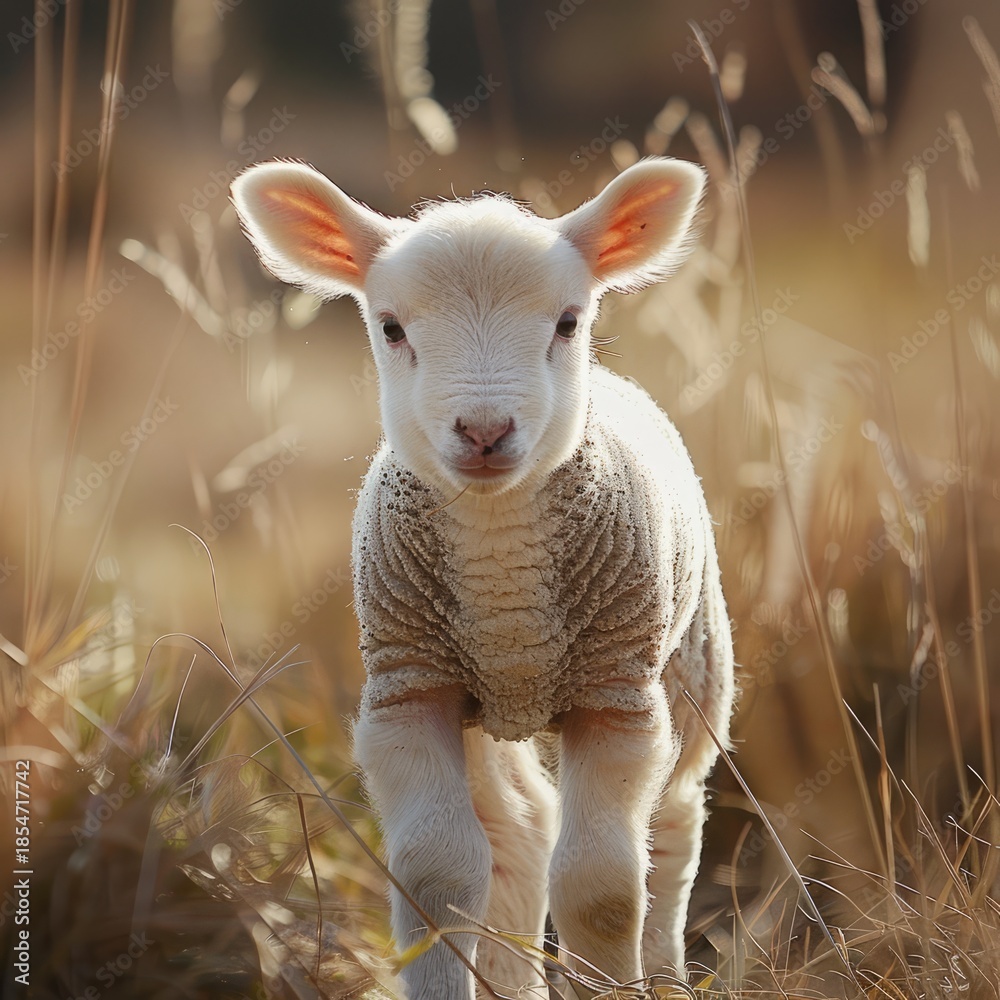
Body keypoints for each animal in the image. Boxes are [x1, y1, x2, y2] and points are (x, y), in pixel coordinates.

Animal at [231, 156, 735, 1000]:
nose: (485, 430)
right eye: (391, 327)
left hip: (691, 668)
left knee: (670, 833)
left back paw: (664, 973)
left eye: (567, 321)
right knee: (519, 834)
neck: (503, 574)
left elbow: (601, 887)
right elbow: (439, 876)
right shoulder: (411, 690)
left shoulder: (615, 695)